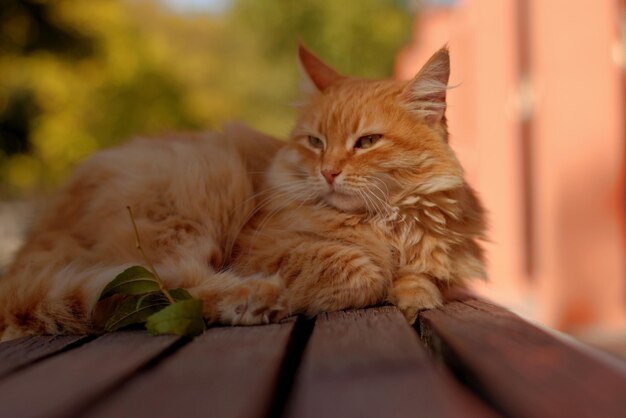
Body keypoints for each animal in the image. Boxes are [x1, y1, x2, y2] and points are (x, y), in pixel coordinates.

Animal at [0, 45, 486, 340]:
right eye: (315, 143)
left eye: (366, 142)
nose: (327, 172)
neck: (384, 225)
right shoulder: (263, 249)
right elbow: (359, 270)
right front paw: (382, 281)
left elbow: (422, 281)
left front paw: (411, 290)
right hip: (194, 200)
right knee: (171, 290)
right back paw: (258, 301)